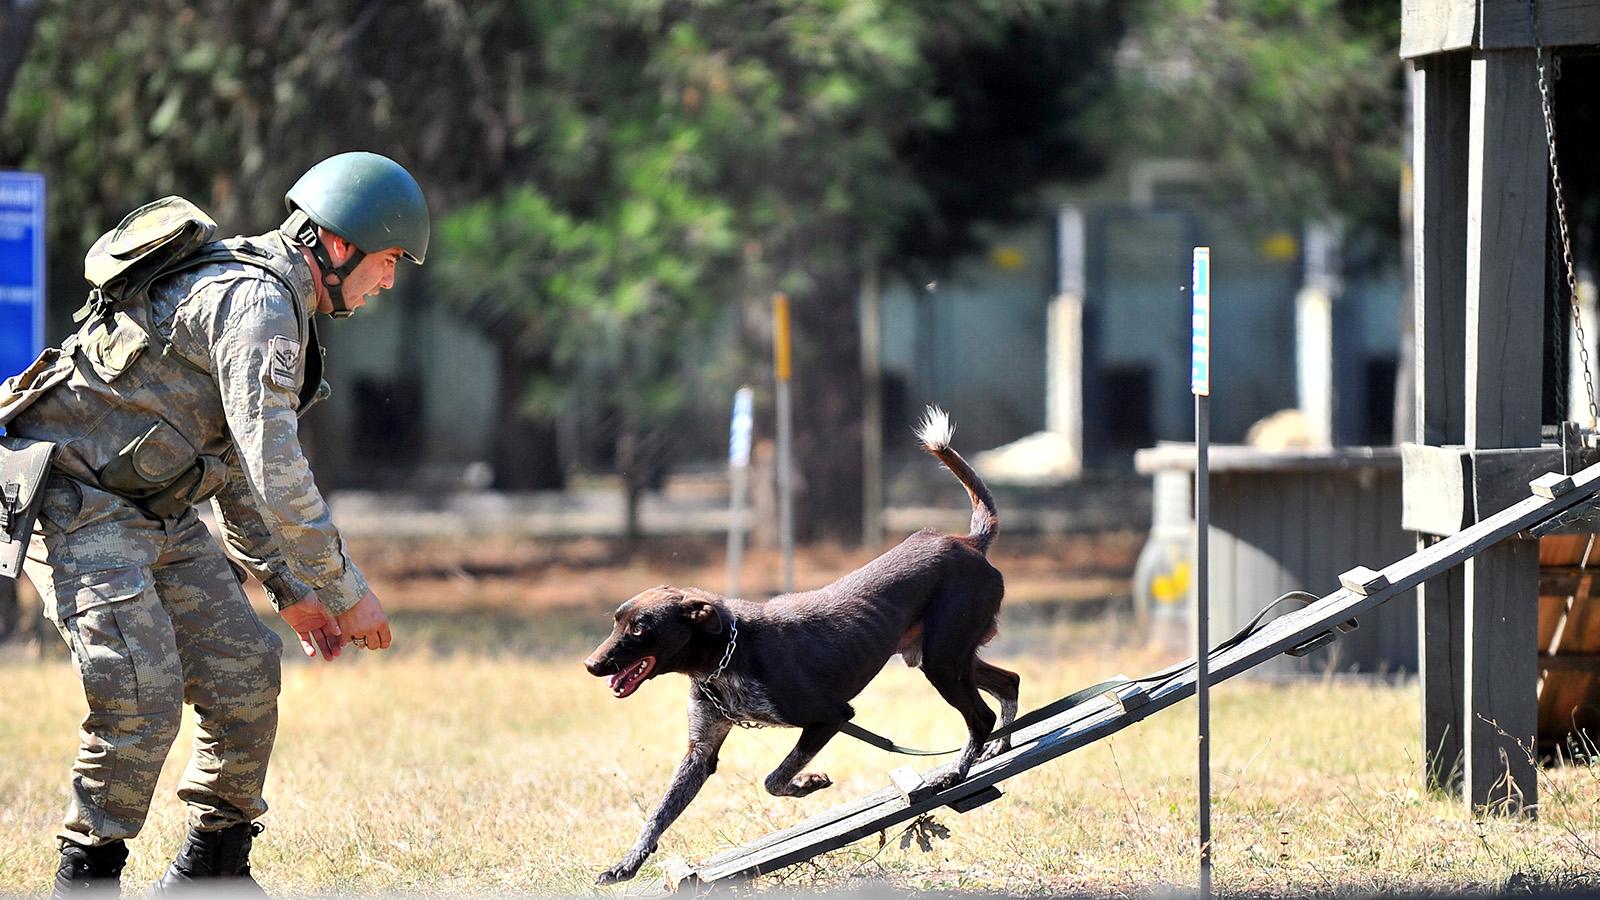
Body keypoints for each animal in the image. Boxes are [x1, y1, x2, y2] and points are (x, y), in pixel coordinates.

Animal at [582, 408, 1017, 883]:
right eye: (616, 622)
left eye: (640, 628)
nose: (590, 664)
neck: (725, 656)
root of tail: (968, 542)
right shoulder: (701, 751)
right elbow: (658, 815)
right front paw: (626, 864)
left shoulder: (831, 716)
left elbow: (774, 779)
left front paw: (809, 782)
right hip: (941, 656)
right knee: (1009, 683)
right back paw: (998, 746)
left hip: (942, 659)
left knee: (980, 715)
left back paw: (956, 773)